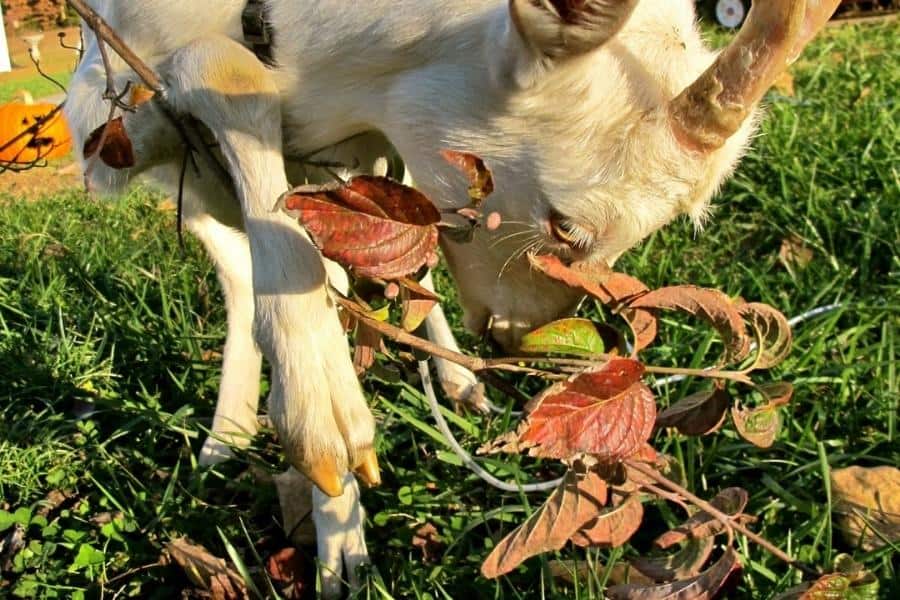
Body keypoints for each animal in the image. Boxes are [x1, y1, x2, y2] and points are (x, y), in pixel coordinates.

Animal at [67, 0, 840, 596]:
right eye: (565, 226)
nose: (521, 337)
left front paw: (341, 533)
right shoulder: (110, 108)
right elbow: (223, 88)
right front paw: (322, 430)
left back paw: (455, 385)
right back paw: (228, 435)